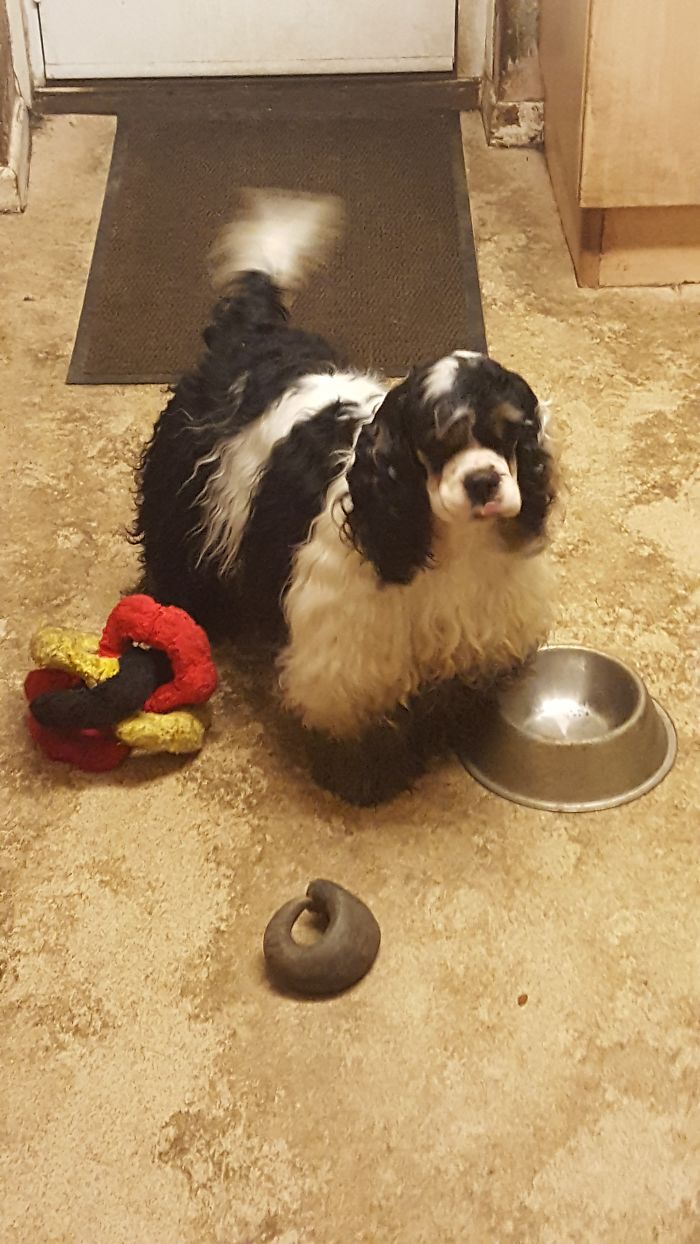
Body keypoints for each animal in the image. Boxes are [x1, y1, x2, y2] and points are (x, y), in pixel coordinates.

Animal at [133, 189, 559, 801]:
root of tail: (250, 336)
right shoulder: (351, 660)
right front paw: (367, 782)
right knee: (176, 565)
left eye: (512, 433)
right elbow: (360, 731)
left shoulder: (482, 632)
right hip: (185, 501)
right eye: (437, 438)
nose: (484, 482)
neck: (447, 543)